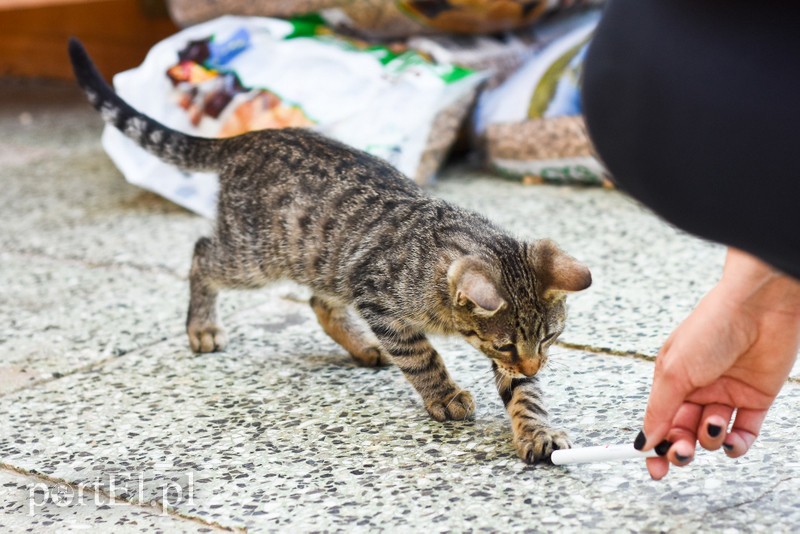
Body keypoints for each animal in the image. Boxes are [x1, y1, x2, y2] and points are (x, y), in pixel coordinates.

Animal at [69, 38, 592, 464]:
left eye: (549, 339)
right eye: (506, 343)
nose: (536, 363)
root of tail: (246, 139)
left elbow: (525, 395)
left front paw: (537, 431)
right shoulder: (380, 301)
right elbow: (421, 357)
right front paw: (443, 395)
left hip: (328, 263)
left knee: (318, 301)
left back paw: (361, 347)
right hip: (256, 256)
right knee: (202, 254)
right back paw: (202, 327)